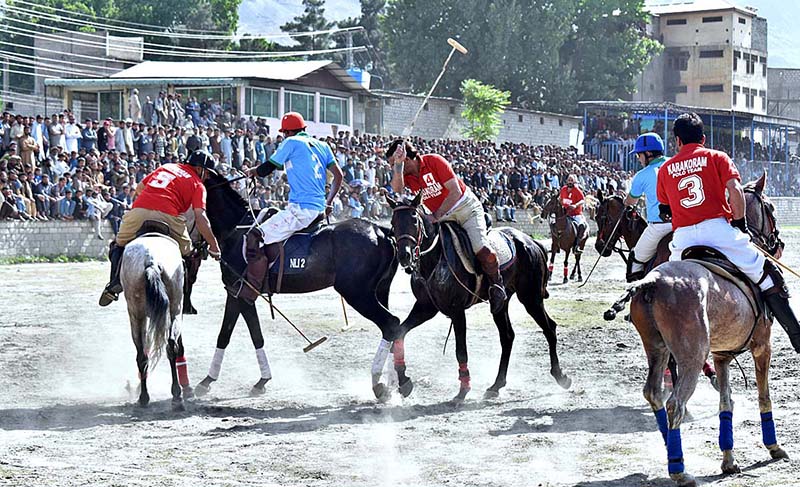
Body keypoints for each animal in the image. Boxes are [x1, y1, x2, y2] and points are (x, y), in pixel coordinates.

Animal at [119, 233, 193, 412]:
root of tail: (151, 260)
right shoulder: (177, 312)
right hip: (172, 308)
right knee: (170, 346)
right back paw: (174, 396)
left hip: (137, 314)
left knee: (143, 354)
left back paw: (146, 396)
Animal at [191, 173, 404, 402]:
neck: (235, 229)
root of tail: (381, 231)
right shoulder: (242, 293)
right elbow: (249, 335)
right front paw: (259, 381)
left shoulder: (238, 292)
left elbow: (231, 334)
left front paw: (208, 381)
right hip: (380, 290)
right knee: (395, 329)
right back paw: (396, 383)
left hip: (357, 293)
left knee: (391, 324)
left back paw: (378, 384)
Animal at [388, 193, 568, 404]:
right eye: (393, 222)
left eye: (414, 221)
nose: (404, 256)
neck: (435, 257)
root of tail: (532, 242)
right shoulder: (426, 307)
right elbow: (399, 334)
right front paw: (403, 380)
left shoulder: (457, 311)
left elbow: (461, 350)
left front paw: (463, 390)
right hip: (501, 303)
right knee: (507, 336)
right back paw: (496, 385)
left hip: (531, 298)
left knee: (549, 328)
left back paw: (561, 377)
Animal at [608, 174, 788, 484]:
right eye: (771, 209)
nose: (779, 244)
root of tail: (651, 280)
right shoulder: (762, 346)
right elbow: (763, 396)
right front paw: (773, 447)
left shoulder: (721, 355)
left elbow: (726, 403)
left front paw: (729, 461)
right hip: (692, 354)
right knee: (674, 403)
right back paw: (679, 470)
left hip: (656, 348)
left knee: (654, 393)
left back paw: (670, 447)